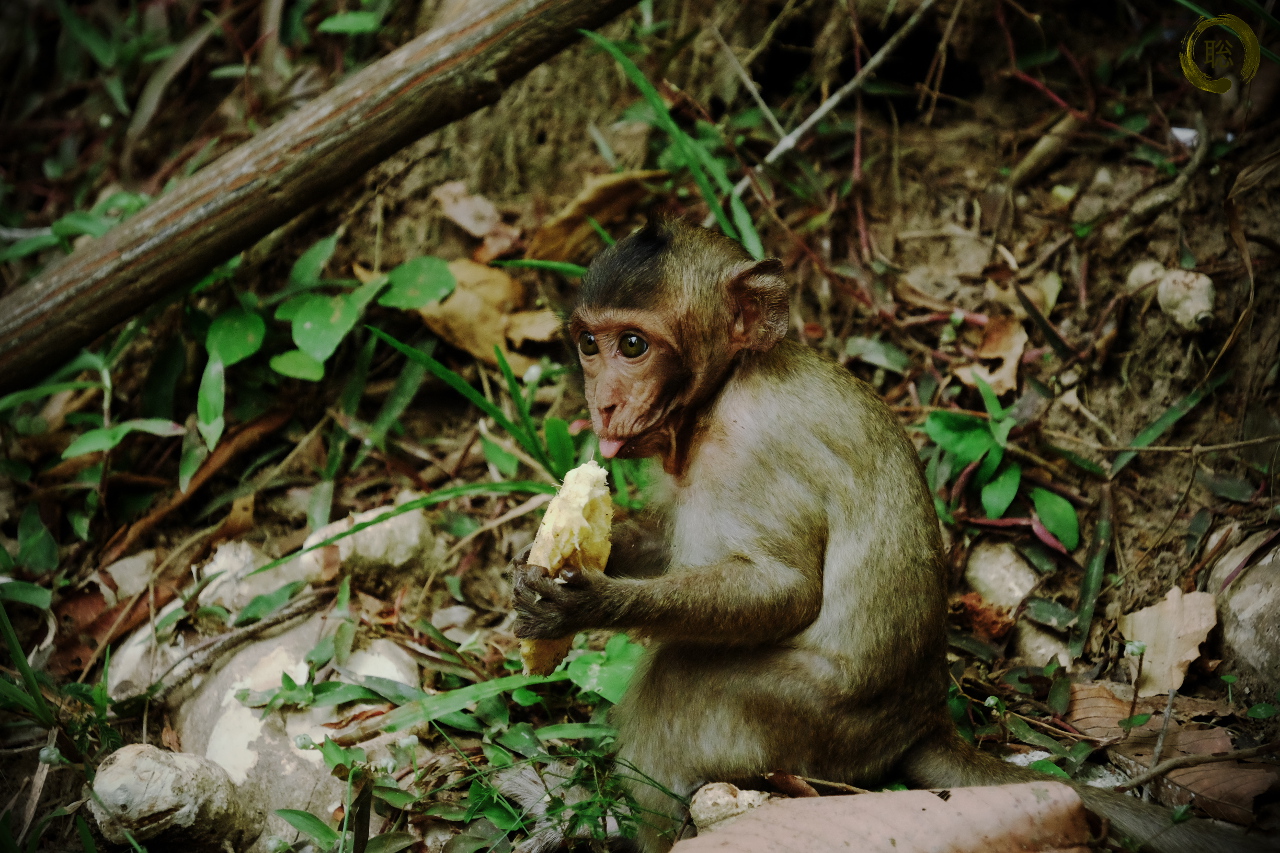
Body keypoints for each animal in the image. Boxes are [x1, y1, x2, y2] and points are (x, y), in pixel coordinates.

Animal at [512, 218, 1278, 853]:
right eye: (590, 344)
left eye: (633, 345)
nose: (602, 402)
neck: (725, 386)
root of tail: (920, 718)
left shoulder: (754, 451)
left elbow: (782, 590)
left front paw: (588, 603)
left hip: (820, 726)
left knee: (677, 693)